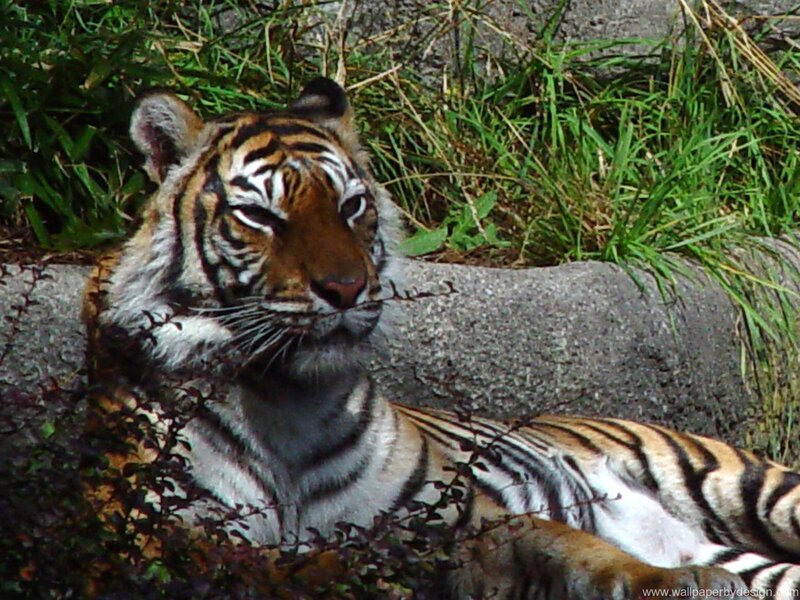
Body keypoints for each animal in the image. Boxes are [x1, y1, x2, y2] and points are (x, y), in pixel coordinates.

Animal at [83, 76, 800, 599]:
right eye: (260, 215)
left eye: (351, 206)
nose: (346, 288)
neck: (288, 400)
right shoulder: (165, 540)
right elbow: (277, 564)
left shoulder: (456, 516)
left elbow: (569, 545)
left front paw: (680, 581)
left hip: (757, 490)